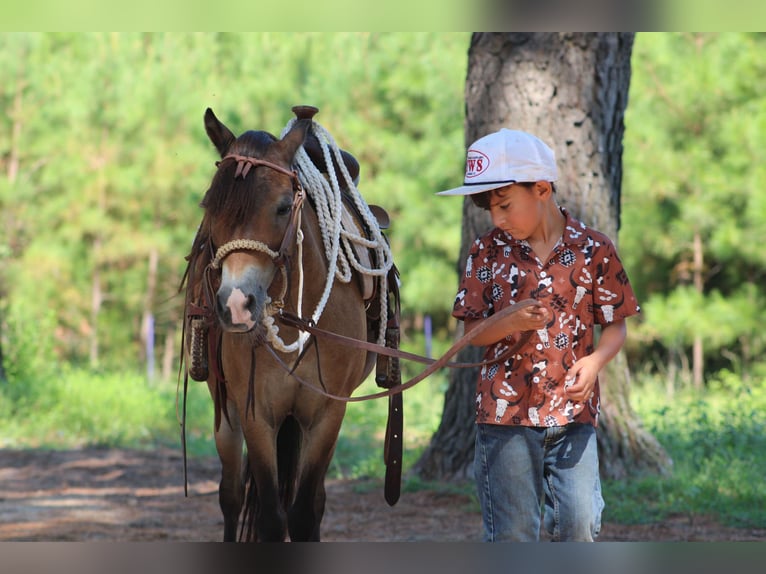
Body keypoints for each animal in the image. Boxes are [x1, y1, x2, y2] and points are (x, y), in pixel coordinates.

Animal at [181, 106, 398, 542]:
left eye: (283, 207)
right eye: (210, 206)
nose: (236, 305)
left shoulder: (328, 413)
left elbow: (304, 512)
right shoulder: (256, 414)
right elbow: (269, 515)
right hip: (225, 408)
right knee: (230, 496)